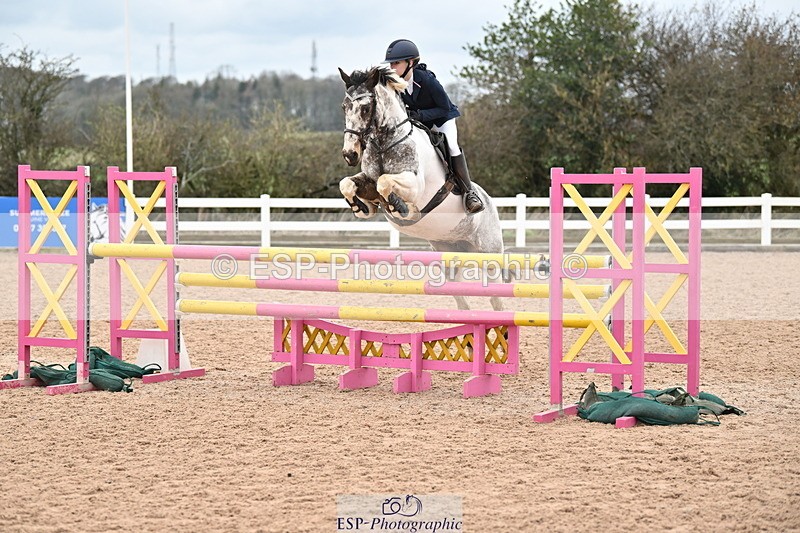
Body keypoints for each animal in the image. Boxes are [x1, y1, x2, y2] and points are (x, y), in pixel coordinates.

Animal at [337, 66, 505, 311]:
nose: (350, 154)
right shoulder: (367, 179)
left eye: (366, 108)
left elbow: (385, 182)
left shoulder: (415, 186)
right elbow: (348, 184)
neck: (385, 143)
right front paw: (361, 207)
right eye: (344, 107)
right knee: (461, 298)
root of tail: (490, 202)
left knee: (496, 296)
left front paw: (399, 207)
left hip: (489, 253)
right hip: (449, 254)